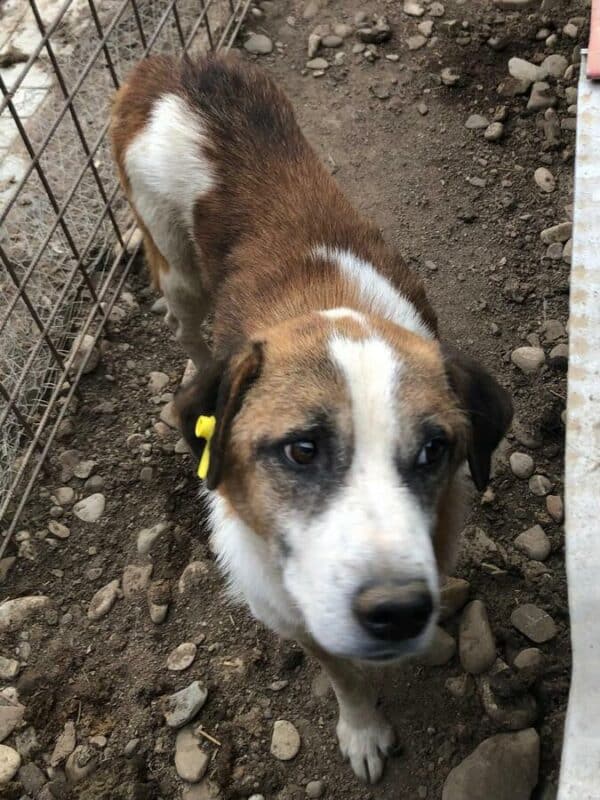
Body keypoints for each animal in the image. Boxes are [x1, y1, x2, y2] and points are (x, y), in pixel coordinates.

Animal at [111, 52, 512, 783]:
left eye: (434, 450)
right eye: (302, 450)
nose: (398, 612)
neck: (324, 308)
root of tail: (174, 63)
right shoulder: (294, 615)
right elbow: (344, 677)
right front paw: (362, 729)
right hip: (175, 270)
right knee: (187, 331)